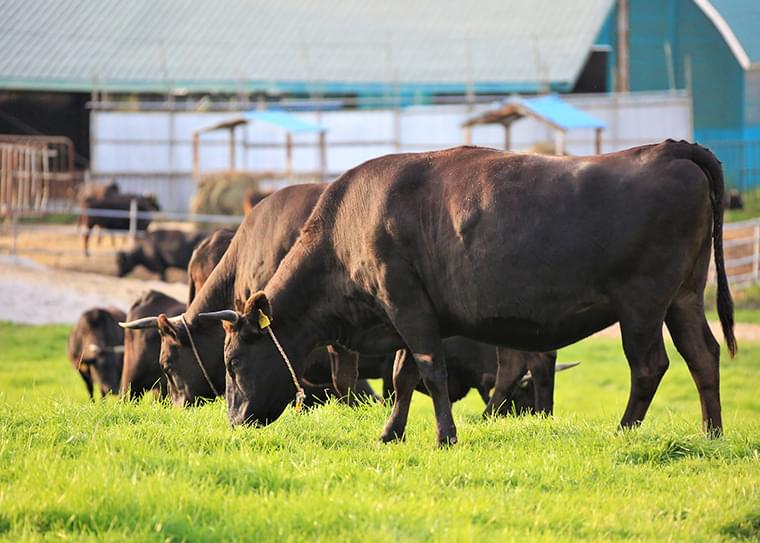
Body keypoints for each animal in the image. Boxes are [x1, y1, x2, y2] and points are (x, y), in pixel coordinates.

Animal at [209, 141, 736, 446]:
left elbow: (429, 371)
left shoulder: (407, 303)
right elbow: (402, 376)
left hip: (642, 304)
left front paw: (445, 436)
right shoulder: (407, 312)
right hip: (684, 296)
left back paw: (625, 431)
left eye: (232, 362)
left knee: (650, 365)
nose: (234, 424)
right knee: (703, 355)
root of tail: (669, 149)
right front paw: (391, 433)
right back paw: (711, 435)